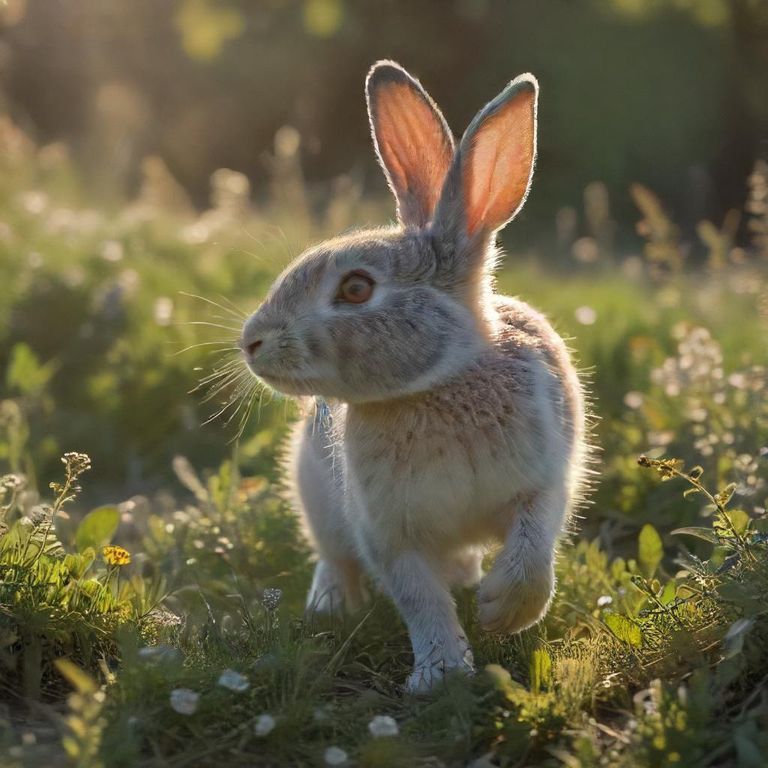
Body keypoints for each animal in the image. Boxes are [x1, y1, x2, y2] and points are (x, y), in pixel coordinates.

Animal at [239, 61, 589, 693]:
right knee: (336, 557)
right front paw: (441, 674)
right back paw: (331, 605)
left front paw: (502, 610)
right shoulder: (387, 531)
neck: (437, 384)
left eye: (356, 288)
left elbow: (534, 550)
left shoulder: (543, 482)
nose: (251, 343)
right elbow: (419, 598)